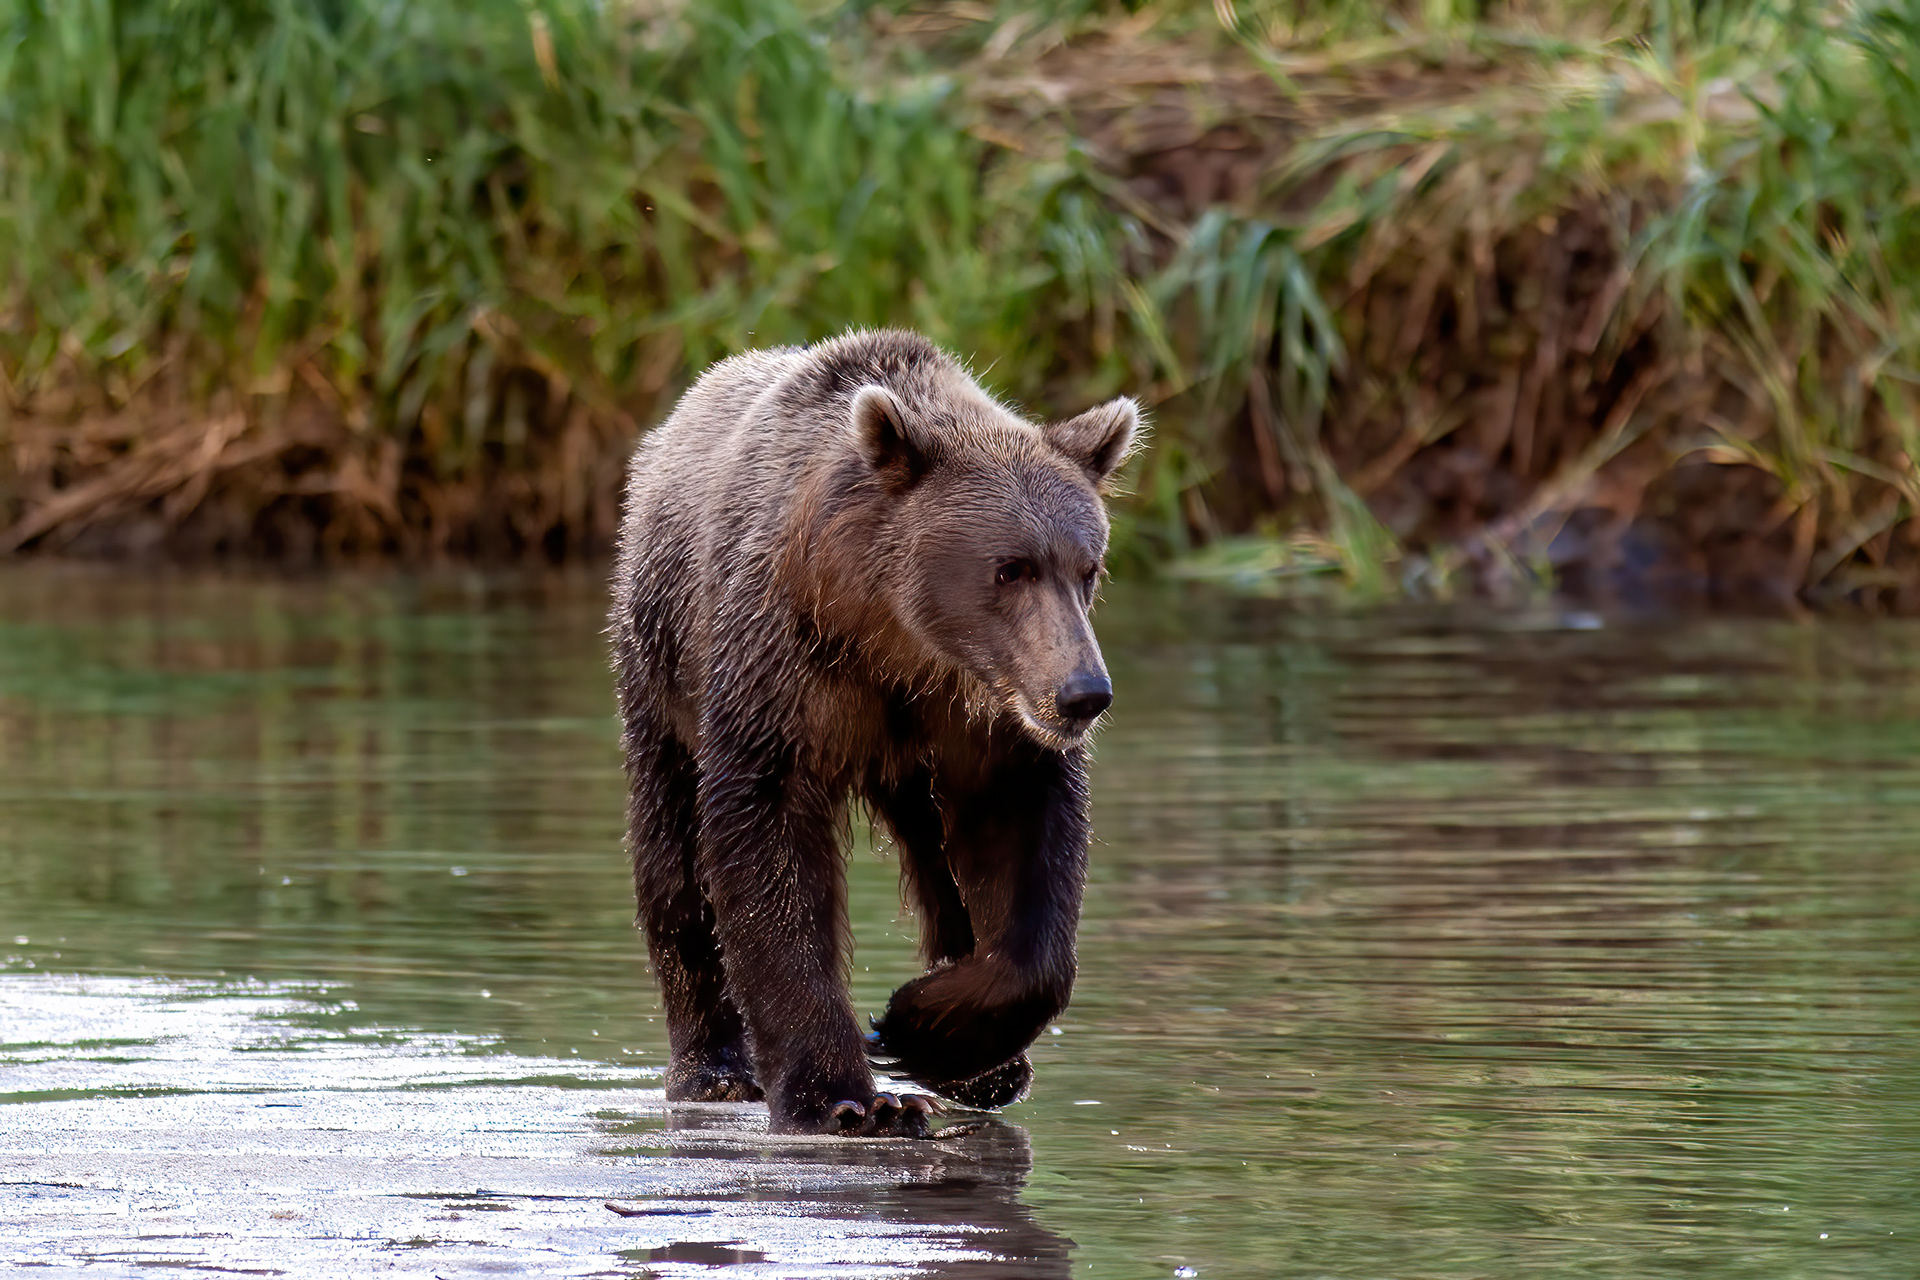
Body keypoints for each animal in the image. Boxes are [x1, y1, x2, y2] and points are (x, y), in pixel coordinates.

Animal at [609, 329, 1136, 1137]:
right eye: (1010, 567)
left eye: (1089, 566)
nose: (1084, 693)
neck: (894, 637)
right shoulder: (782, 669)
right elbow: (766, 843)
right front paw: (849, 1097)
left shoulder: (983, 719)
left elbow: (1026, 852)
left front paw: (923, 1026)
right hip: (658, 670)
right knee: (669, 853)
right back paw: (712, 1068)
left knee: (941, 869)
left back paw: (993, 1065)